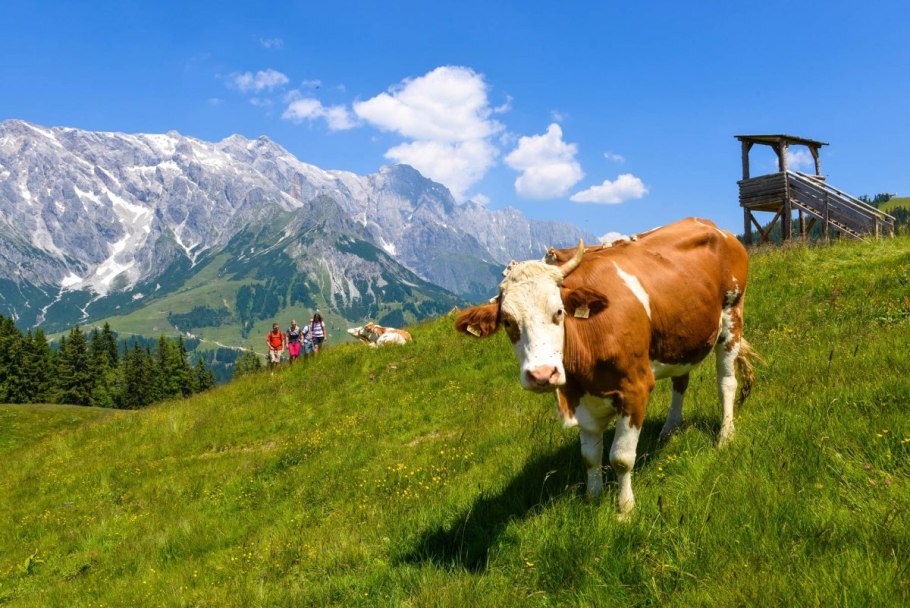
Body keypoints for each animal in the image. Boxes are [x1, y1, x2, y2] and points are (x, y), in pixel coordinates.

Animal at [455, 217, 757, 517]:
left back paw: (725, 435)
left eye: (559, 312)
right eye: (508, 322)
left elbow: (621, 458)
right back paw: (669, 430)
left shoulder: (636, 389)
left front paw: (625, 510)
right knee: (680, 381)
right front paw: (593, 498)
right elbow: (590, 457)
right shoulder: (582, 400)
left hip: (733, 315)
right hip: (682, 336)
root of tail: (708, 224)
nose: (542, 375)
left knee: (726, 381)